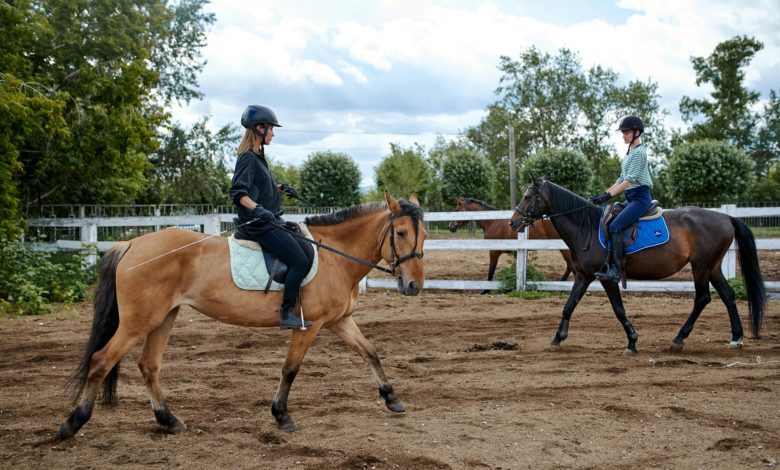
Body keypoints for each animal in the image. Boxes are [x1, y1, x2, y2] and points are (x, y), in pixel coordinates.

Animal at [60, 193, 426, 438]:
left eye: (424, 235)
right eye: (401, 233)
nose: (413, 286)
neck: (334, 256)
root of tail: (131, 245)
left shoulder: (338, 321)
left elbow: (370, 352)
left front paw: (392, 399)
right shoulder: (309, 326)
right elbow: (290, 369)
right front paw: (281, 415)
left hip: (164, 317)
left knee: (148, 365)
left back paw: (169, 421)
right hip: (139, 321)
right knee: (101, 360)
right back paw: (72, 423)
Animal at [448, 197, 576, 288]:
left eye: (456, 210)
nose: (451, 226)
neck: (492, 222)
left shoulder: (494, 251)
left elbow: (491, 270)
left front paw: (485, 290)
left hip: (565, 249)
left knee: (572, 267)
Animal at [508, 178, 764, 354]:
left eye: (528, 196)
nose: (513, 222)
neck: (586, 229)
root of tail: (726, 218)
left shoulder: (606, 278)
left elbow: (618, 309)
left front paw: (632, 341)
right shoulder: (583, 275)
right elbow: (568, 306)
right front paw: (557, 339)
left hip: (701, 267)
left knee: (702, 298)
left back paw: (679, 339)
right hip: (713, 267)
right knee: (728, 296)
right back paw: (736, 338)